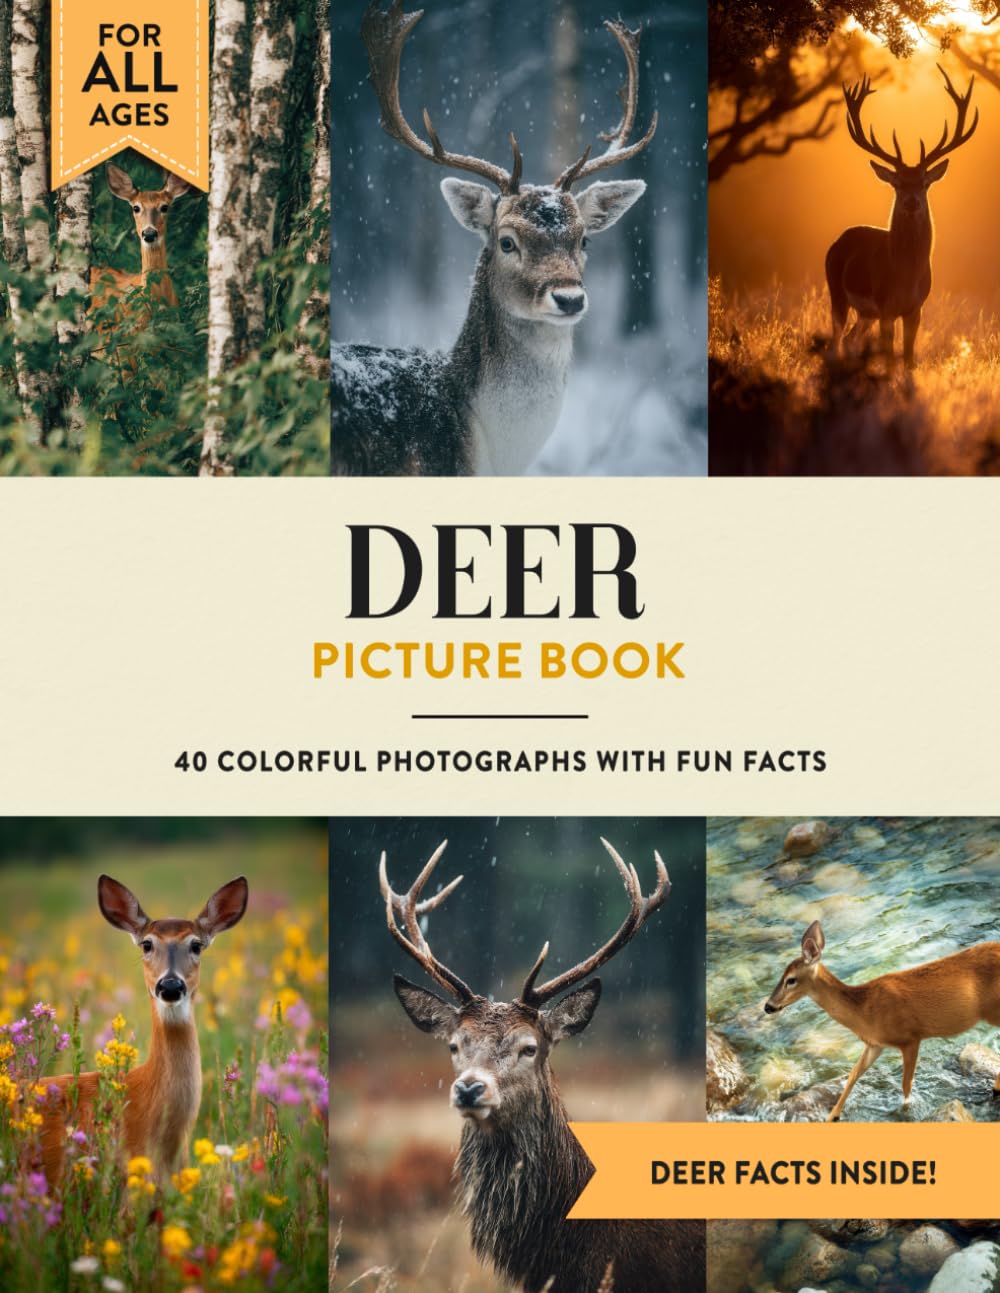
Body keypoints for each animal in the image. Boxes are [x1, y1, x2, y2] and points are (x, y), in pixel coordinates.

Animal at [764, 919, 1000, 1122]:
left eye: (790, 980)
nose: (768, 1006)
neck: (865, 1011)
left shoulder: (910, 1038)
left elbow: (906, 1085)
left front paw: (905, 1112)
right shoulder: (875, 1045)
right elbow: (852, 1075)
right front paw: (832, 1116)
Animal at [826, 65, 978, 369]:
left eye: (924, 182)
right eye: (897, 183)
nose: (911, 201)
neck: (905, 276)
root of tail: (838, 241)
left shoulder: (915, 308)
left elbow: (908, 358)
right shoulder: (886, 307)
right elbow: (889, 357)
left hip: (866, 313)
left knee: (849, 339)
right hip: (836, 290)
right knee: (835, 339)